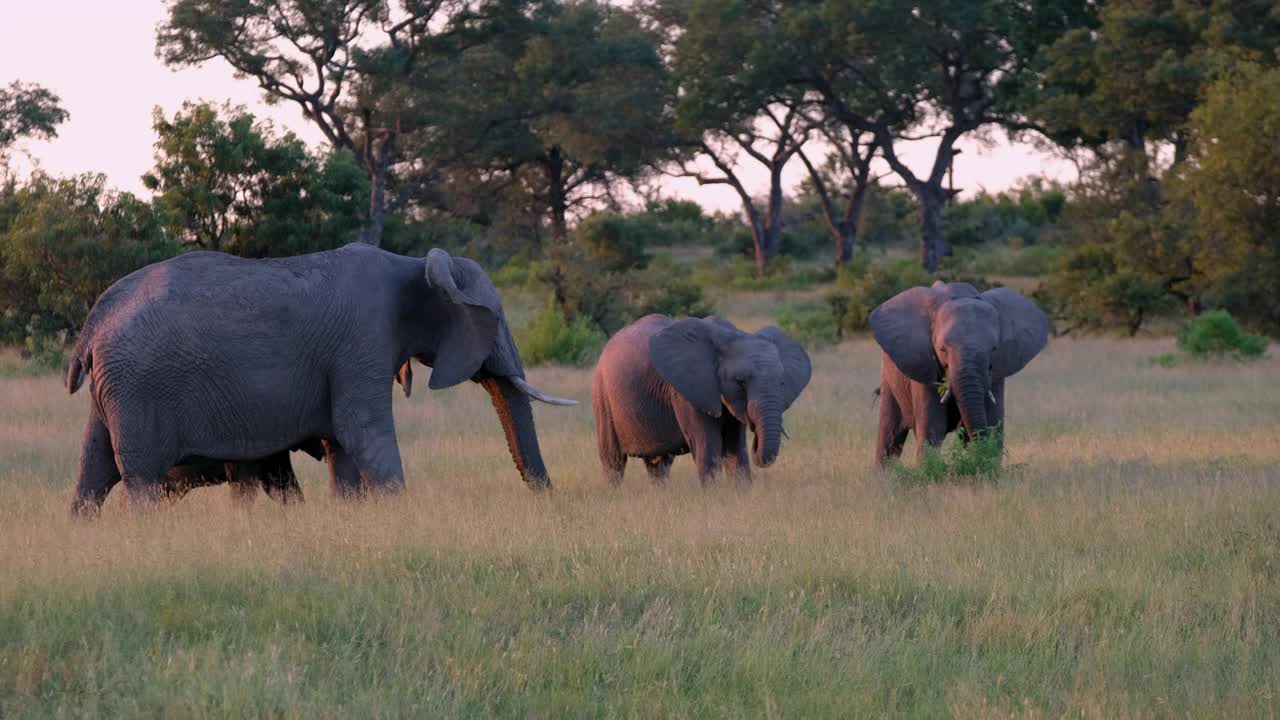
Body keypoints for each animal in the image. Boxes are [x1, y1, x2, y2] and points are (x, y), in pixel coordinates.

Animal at [588, 312, 808, 484]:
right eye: (740, 382)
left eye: (781, 382)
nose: (756, 435)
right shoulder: (687, 391)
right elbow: (708, 449)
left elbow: (736, 451)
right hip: (602, 394)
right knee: (613, 461)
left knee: (659, 465)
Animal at [865, 278, 1044, 461]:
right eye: (943, 349)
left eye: (994, 349)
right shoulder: (924, 366)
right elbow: (932, 429)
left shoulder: (997, 373)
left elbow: (994, 426)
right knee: (889, 436)